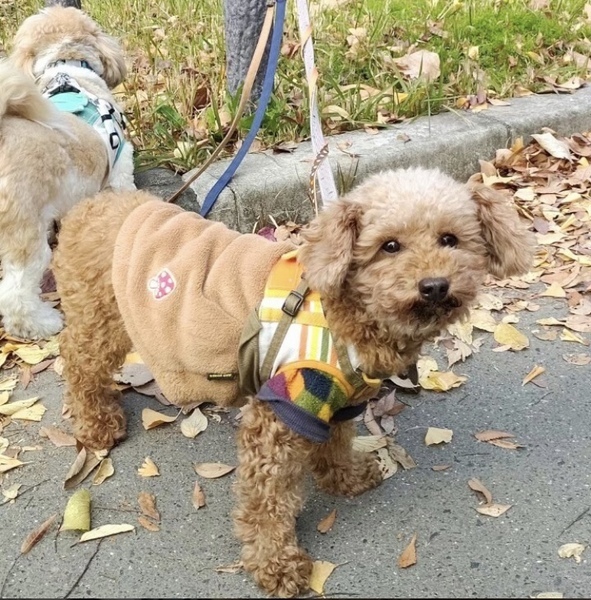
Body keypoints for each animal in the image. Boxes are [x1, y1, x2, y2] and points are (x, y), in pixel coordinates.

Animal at [52, 167, 534, 597]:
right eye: (390, 246)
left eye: (450, 239)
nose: (434, 285)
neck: (348, 313)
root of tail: (88, 205)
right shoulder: (281, 410)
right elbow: (267, 499)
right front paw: (276, 564)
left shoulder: (335, 398)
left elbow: (335, 442)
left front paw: (345, 478)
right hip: (100, 318)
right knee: (77, 359)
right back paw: (97, 425)